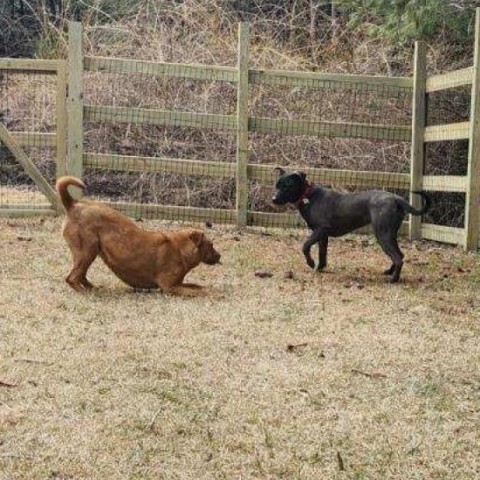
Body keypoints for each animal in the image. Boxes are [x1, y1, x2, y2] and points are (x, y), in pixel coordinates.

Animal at [56, 176, 221, 296]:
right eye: (211, 244)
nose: (220, 256)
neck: (179, 249)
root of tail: (73, 204)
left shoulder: (178, 283)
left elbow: (197, 286)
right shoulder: (170, 287)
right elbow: (197, 291)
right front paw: (213, 294)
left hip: (90, 252)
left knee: (81, 275)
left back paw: (93, 288)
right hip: (87, 251)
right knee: (72, 278)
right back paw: (86, 292)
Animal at [272, 168, 434, 282]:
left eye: (287, 186)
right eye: (277, 185)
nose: (273, 199)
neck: (308, 196)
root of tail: (396, 198)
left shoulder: (320, 230)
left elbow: (305, 246)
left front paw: (311, 263)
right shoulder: (323, 235)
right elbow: (322, 253)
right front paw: (319, 268)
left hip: (383, 235)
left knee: (398, 258)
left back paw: (393, 279)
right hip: (390, 234)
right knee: (400, 255)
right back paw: (389, 272)